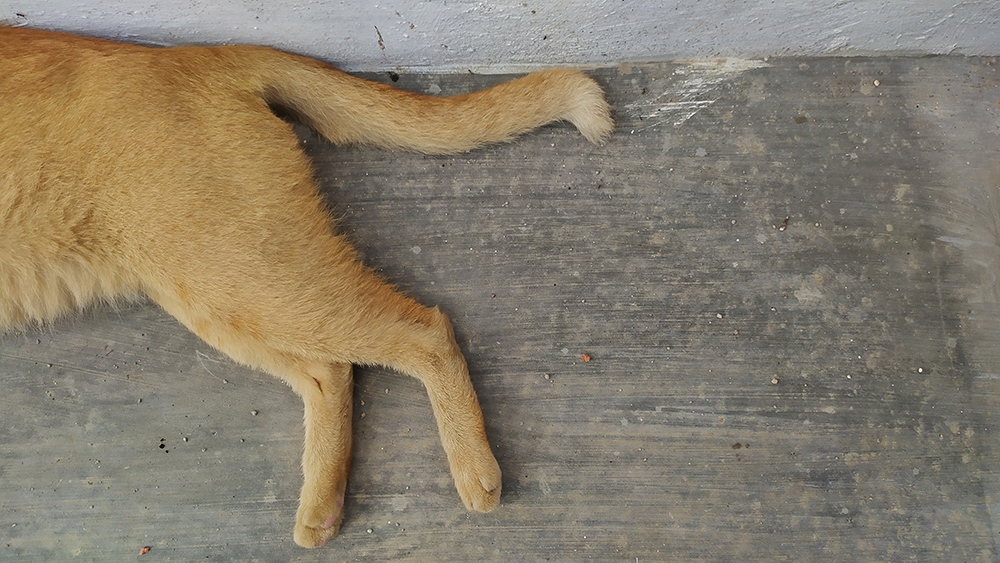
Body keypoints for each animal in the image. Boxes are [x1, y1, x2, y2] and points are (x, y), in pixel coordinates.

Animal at [0, 26, 612, 548]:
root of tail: (197, 52)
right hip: (219, 295)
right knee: (330, 371)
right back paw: (323, 508)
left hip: (242, 276)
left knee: (424, 330)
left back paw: (475, 474)